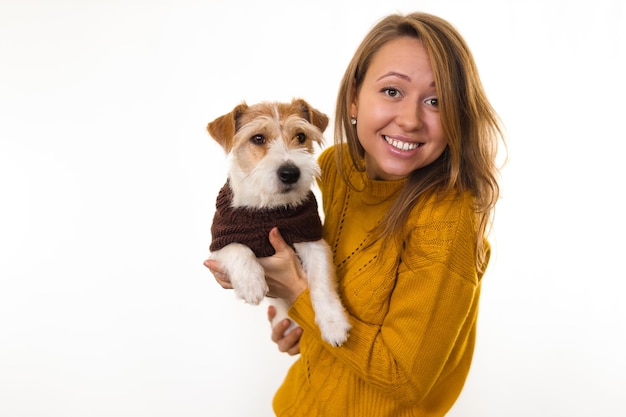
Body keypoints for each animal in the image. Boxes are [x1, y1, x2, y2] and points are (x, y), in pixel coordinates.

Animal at [206, 97, 348, 344]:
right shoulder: (219, 241)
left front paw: (333, 323)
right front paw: (251, 283)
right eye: (258, 138)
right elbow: (237, 248)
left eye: (300, 136)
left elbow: (321, 282)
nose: (290, 173)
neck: (269, 207)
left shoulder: (312, 241)